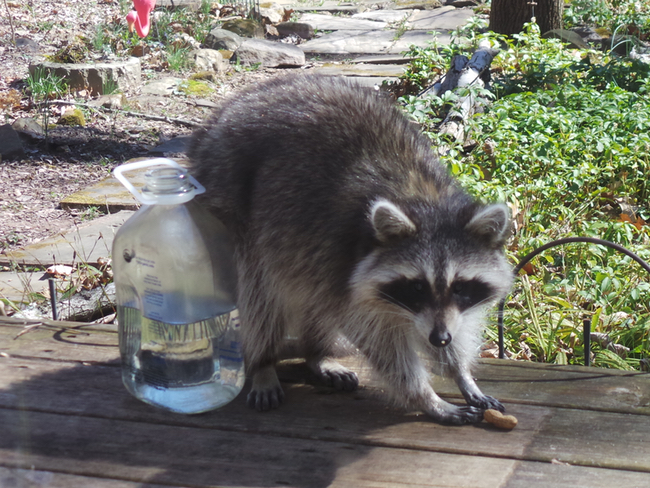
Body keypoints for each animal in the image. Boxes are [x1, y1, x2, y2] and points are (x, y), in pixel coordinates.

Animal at [188, 74, 513, 425]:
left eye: (460, 287)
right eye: (417, 286)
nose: (439, 339)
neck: (426, 200)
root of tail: (229, 108)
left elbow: (450, 326)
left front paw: (459, 371)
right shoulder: (341, 255)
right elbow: (376, 338)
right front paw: (426, 397)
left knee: (311, 298)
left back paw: (317, 352)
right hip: (229, 200)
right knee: (259, 292)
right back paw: (263, 362)